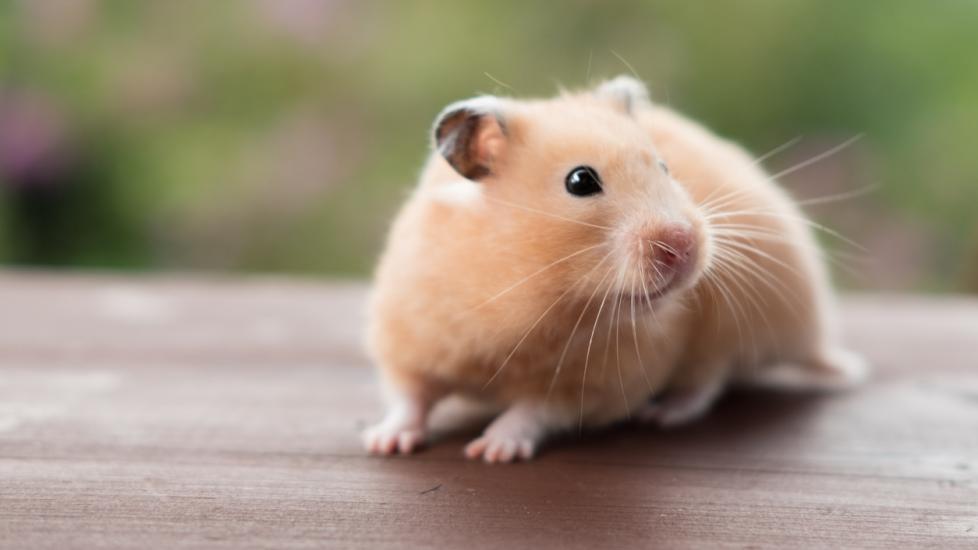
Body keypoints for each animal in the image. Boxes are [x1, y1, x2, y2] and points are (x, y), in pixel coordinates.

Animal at [363, 75, 866, 463]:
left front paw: (491, 451)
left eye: (664, 166)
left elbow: (534, 410)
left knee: (709, 379)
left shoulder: (596, 385)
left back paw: (661, 414)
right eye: (580, 181)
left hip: (731, 323)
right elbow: (408, 395)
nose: (684, 245)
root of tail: (812, 338)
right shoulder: (409, 336)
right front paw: (384, 443)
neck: (530, 291)